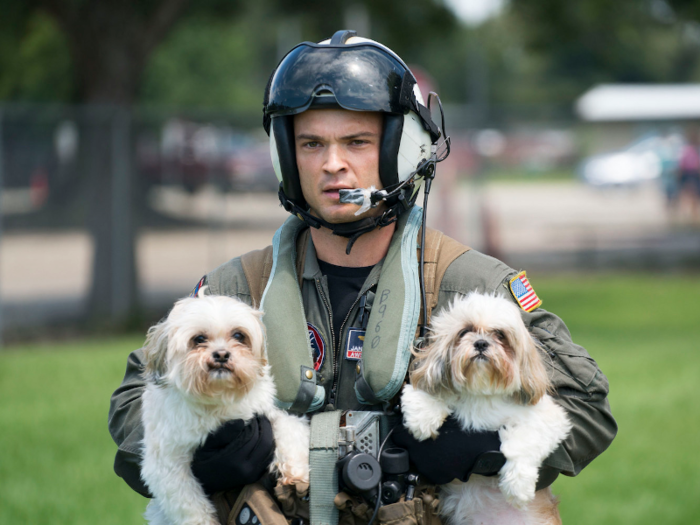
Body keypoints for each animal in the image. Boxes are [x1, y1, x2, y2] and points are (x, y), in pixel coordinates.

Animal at [139, 292, 308, 524]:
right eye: (199, 339)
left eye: (238, 335)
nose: (221, 354)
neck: (218, 397)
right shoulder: (167, 462)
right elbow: (189, 504)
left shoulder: (267, 411)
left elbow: (289, 429)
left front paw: (295, 472)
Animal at [402, 292, 572, 520]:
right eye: (465, 331)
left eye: (500, 334)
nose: (481, 343)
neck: (481, 390)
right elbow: (426, 392)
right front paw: (422, 419)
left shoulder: (548, 417)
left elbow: (524, 442)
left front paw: (518, 486)